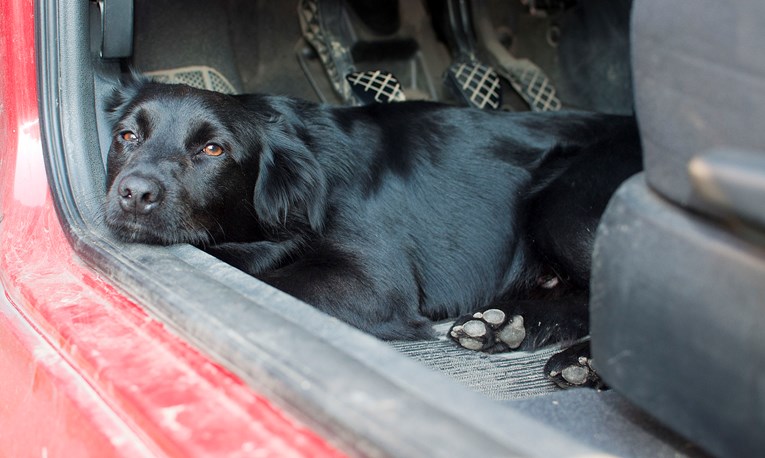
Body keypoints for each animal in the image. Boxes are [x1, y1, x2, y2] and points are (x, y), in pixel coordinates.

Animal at [103, 76, 640, 382]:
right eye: (126, 136)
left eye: (212, 150)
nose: (134, 194)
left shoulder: (373, 284)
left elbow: (263, 272)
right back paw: (504, 323)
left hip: (564, 205)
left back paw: (587, 362)